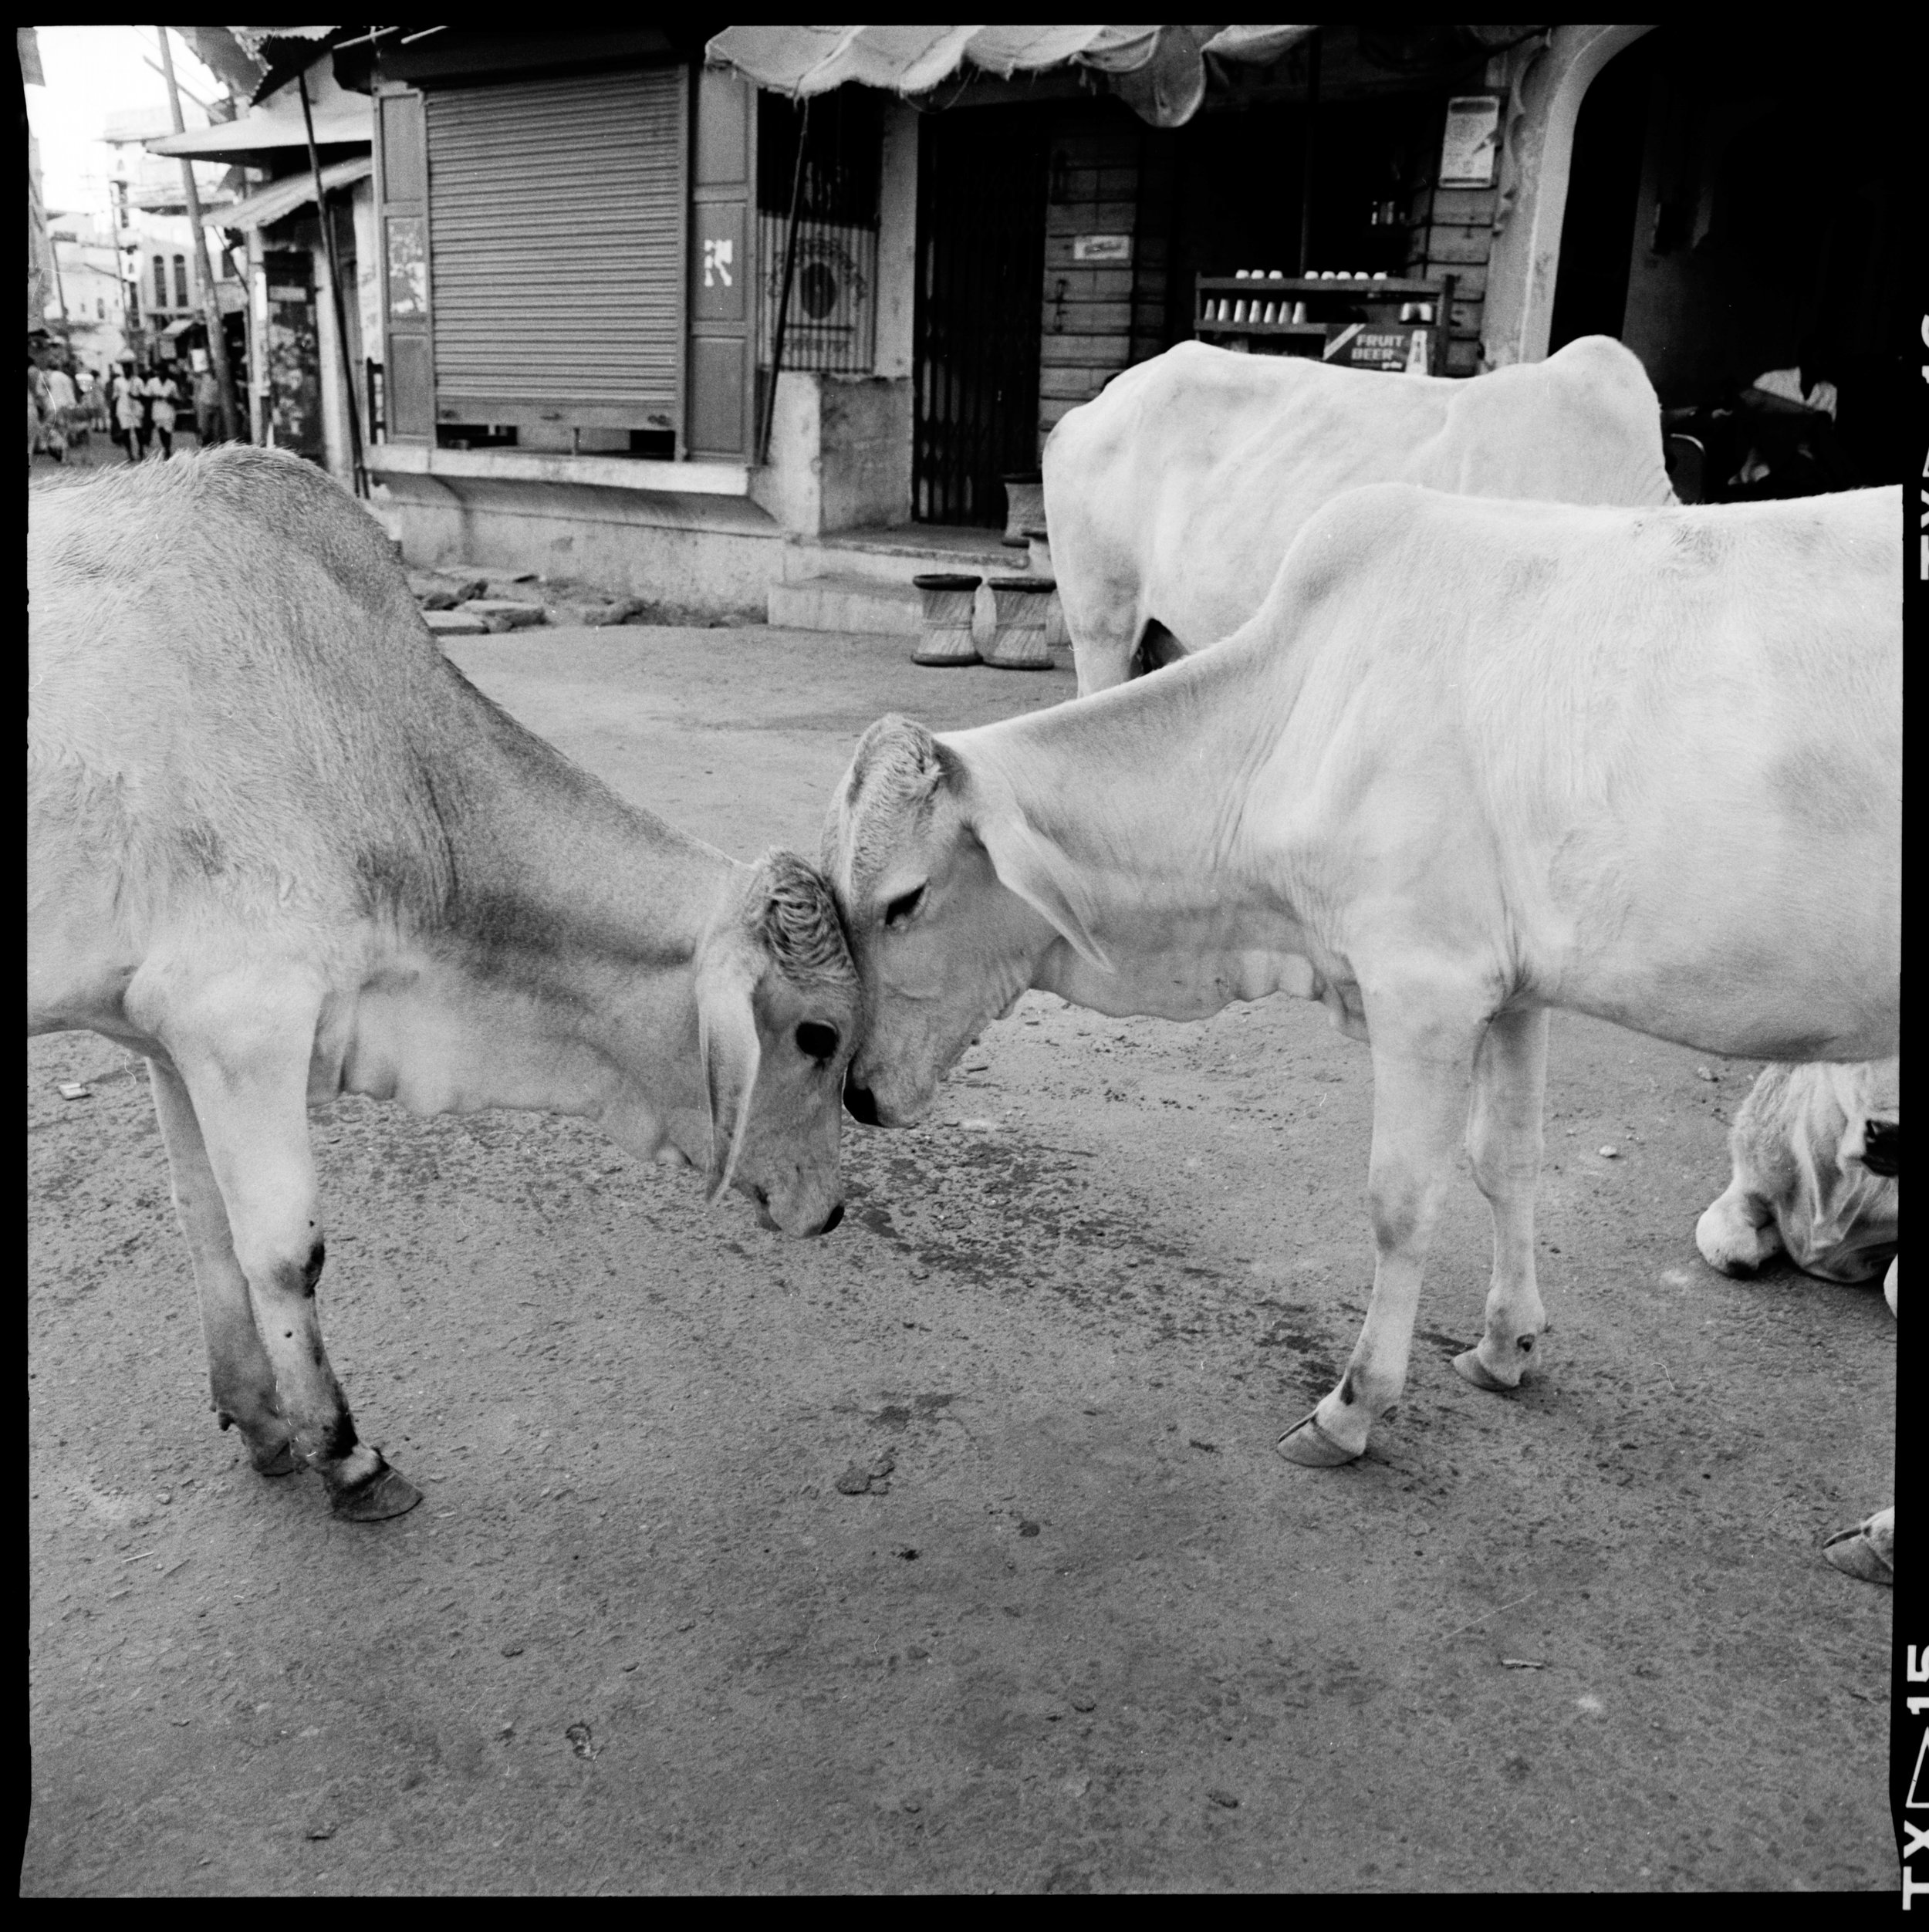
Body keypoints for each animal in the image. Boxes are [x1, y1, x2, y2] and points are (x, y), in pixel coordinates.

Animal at [28, 446, 862, 1521]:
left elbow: (208, 1226)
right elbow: (285, 1250)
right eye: (816, 1035)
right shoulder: (242, 1021)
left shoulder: (166, 1040)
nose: (831, 1210)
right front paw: (345, 1453)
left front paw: (259, 1421)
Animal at [825, 482, 1899, 1484]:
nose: (859, 1093)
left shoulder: (1422, 984)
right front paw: (1504, 1346)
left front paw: (1351, 1408)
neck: (1293, 719)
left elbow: (1400, 1201)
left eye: (904, 899)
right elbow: (1506, 1160)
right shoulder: (1512, 989)